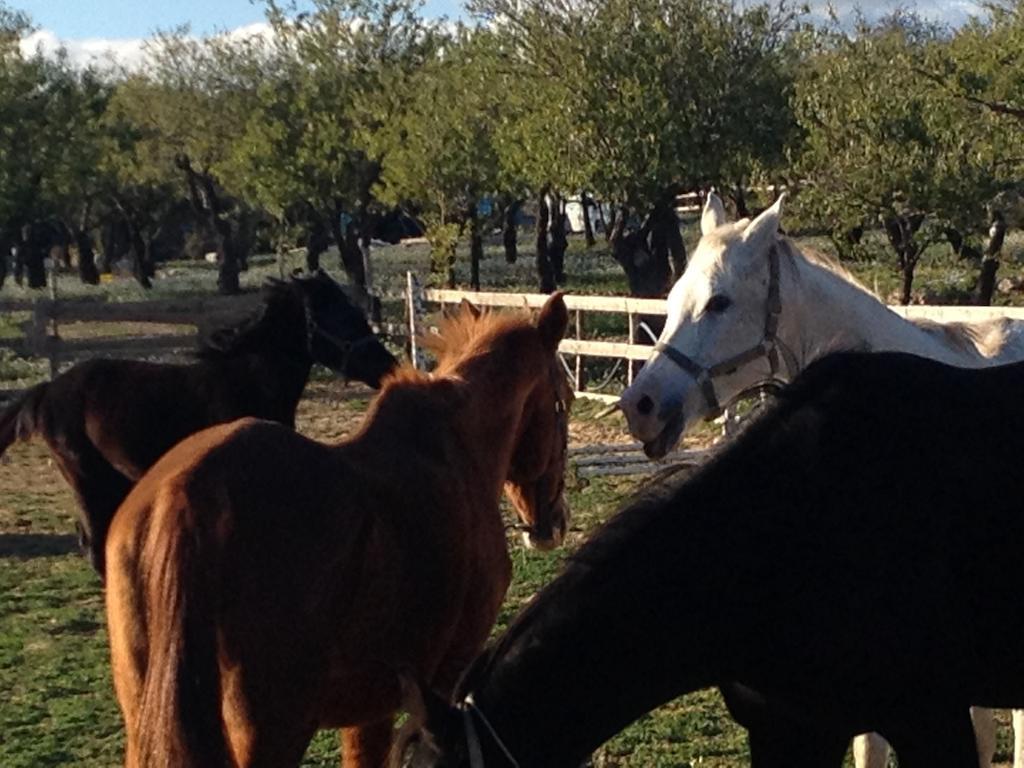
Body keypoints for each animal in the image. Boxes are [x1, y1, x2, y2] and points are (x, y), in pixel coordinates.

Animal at [0, 270, 395, 577]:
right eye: (341, 318)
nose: (388, 367)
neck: (245, 384)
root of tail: (48, 390)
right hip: (86, 479)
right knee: (94, 545)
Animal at [104, 292, 577, 768]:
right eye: (564, 402)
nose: (553, 523)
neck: (454, 449)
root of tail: (184, 493)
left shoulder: (370, 706)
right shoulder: (443, 677)